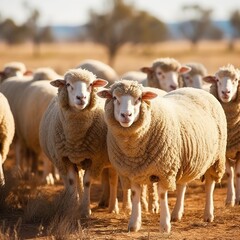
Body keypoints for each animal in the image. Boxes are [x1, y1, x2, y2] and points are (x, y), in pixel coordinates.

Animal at [39, 68, 119, 218]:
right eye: (68, 84)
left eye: (91, 84)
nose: (81, 98)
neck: (75, 139)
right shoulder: (65, 157)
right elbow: (72, 181)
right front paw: (72, 207)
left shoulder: (93, 159)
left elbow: (87, 182)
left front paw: (86, 210)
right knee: (77, 179)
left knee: (112, 180)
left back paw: (113, 207)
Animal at [97, 80, 227, 232]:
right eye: (114, 98)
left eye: (139, 99)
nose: (126, 115)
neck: (133, 151)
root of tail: (195, 89)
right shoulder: (131, 171)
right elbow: (135, 194)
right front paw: (134, 224)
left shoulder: (165, 169)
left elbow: (161, 194)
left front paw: (165, 225)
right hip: (184, 159)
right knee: (182, 185)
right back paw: (176, 214)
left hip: (216, 158)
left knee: (210, 184)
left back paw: (208, 214)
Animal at [203, 63, 240, 206]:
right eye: (217, 80)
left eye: (236, 80)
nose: (226, 92)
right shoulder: (224, 150)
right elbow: (230, 173)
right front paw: (230, 199)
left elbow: (238, 173)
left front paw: (237, 199)